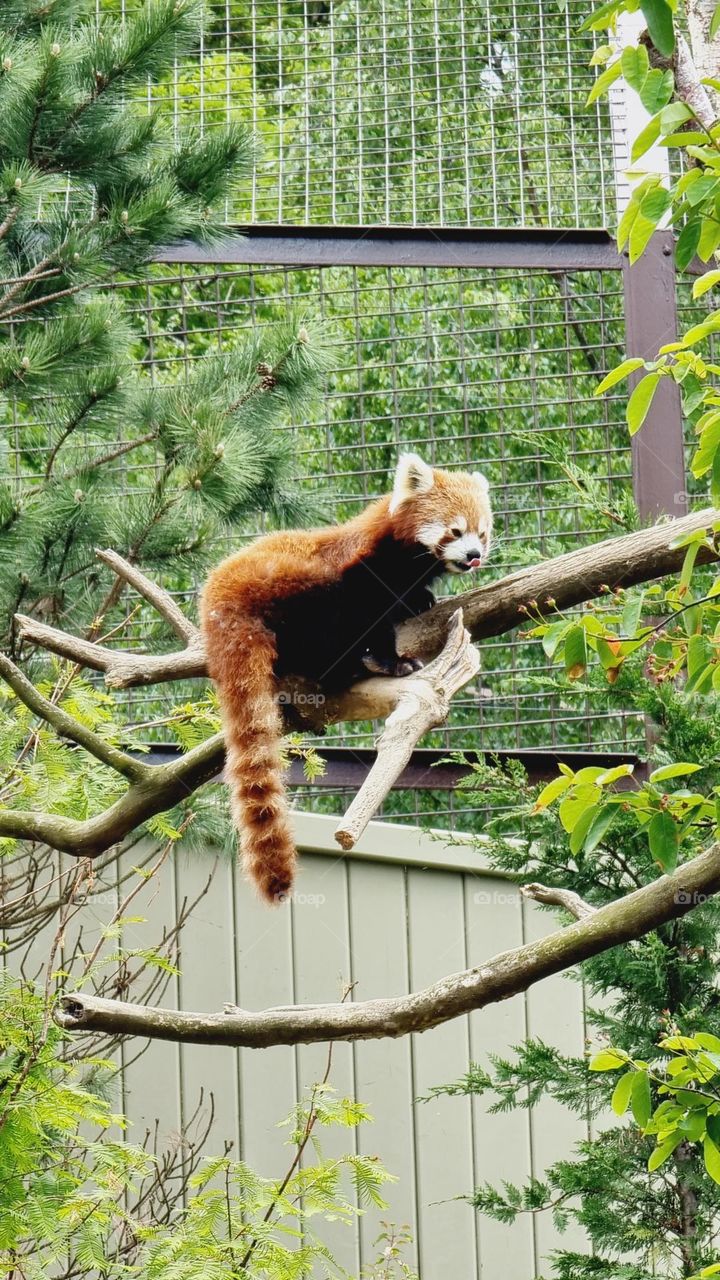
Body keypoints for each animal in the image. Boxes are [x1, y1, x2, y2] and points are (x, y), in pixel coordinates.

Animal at [202, 455, 491, 906]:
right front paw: (393, 661)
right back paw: (350, 667)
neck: (404, 558)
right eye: (455, 531)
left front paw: (421, 600)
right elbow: (371, 619)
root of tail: (220, 601)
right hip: (296, 593)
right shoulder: (364, 573)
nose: (475, 555)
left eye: (482, 530)